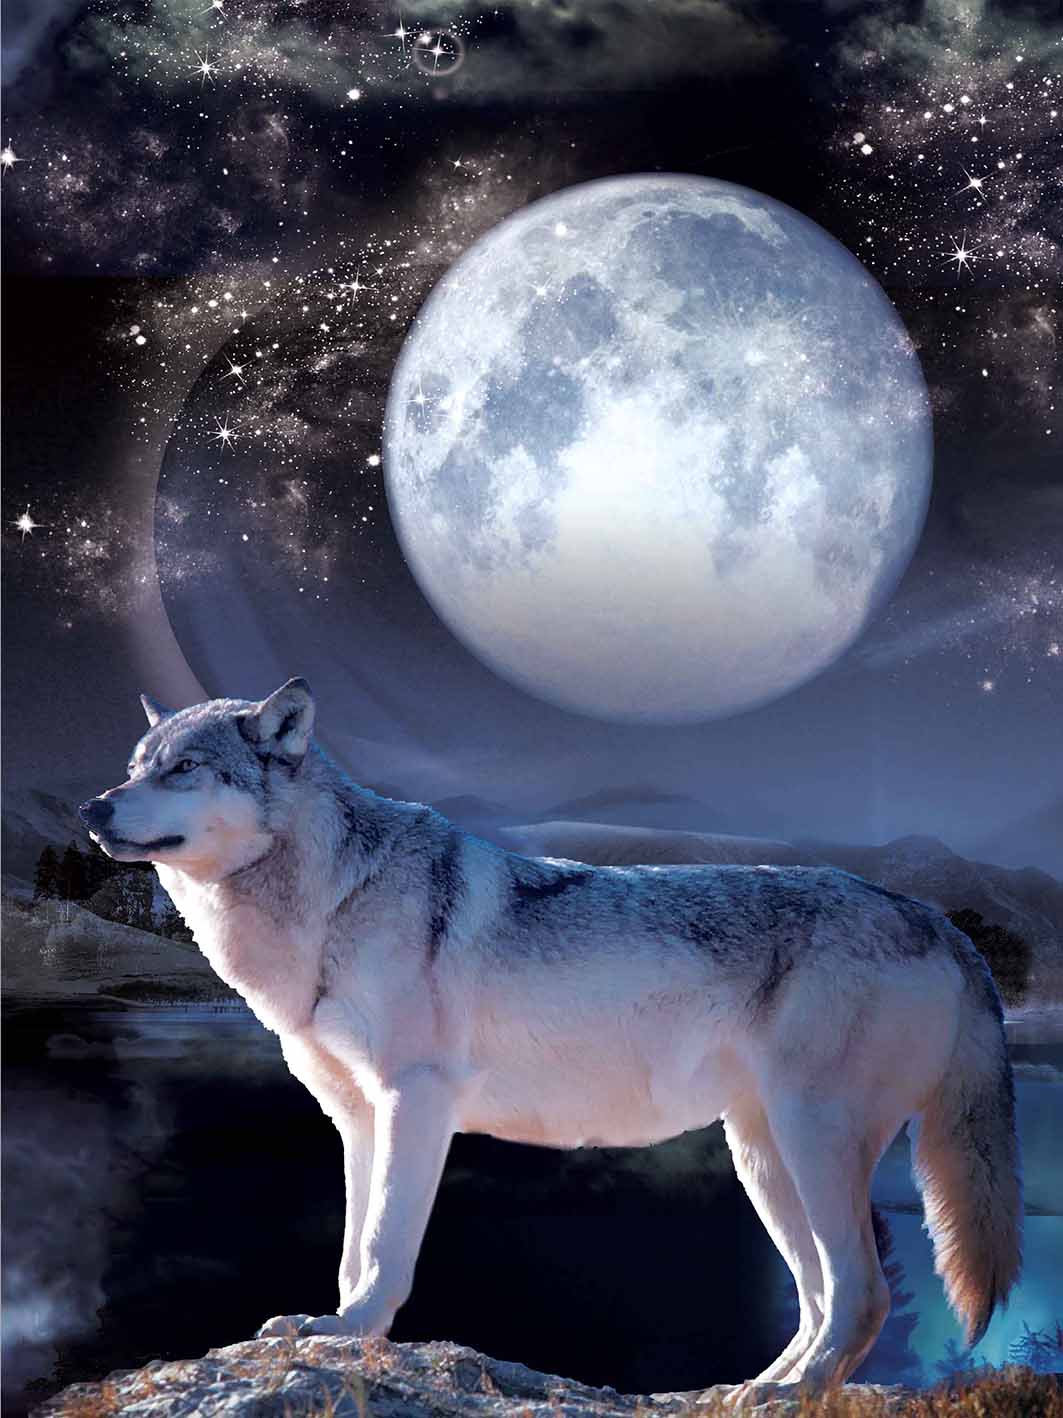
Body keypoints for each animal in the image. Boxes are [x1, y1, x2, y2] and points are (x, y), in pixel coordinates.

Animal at [80, 678, 1021, 1405]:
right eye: (133, 766)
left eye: (183, 768)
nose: (92, 806)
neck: (330, 900)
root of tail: (939, 922)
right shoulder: (355, 1119)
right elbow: (351, 1252)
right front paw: (337, 1330)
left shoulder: (415, 1101)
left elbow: (384, 1246)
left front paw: (358, 1333)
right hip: (761, 1157)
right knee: (819, 1296)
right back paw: (749, 1389)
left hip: (810, 1139)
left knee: (859, 1294)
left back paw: (792, 1396)